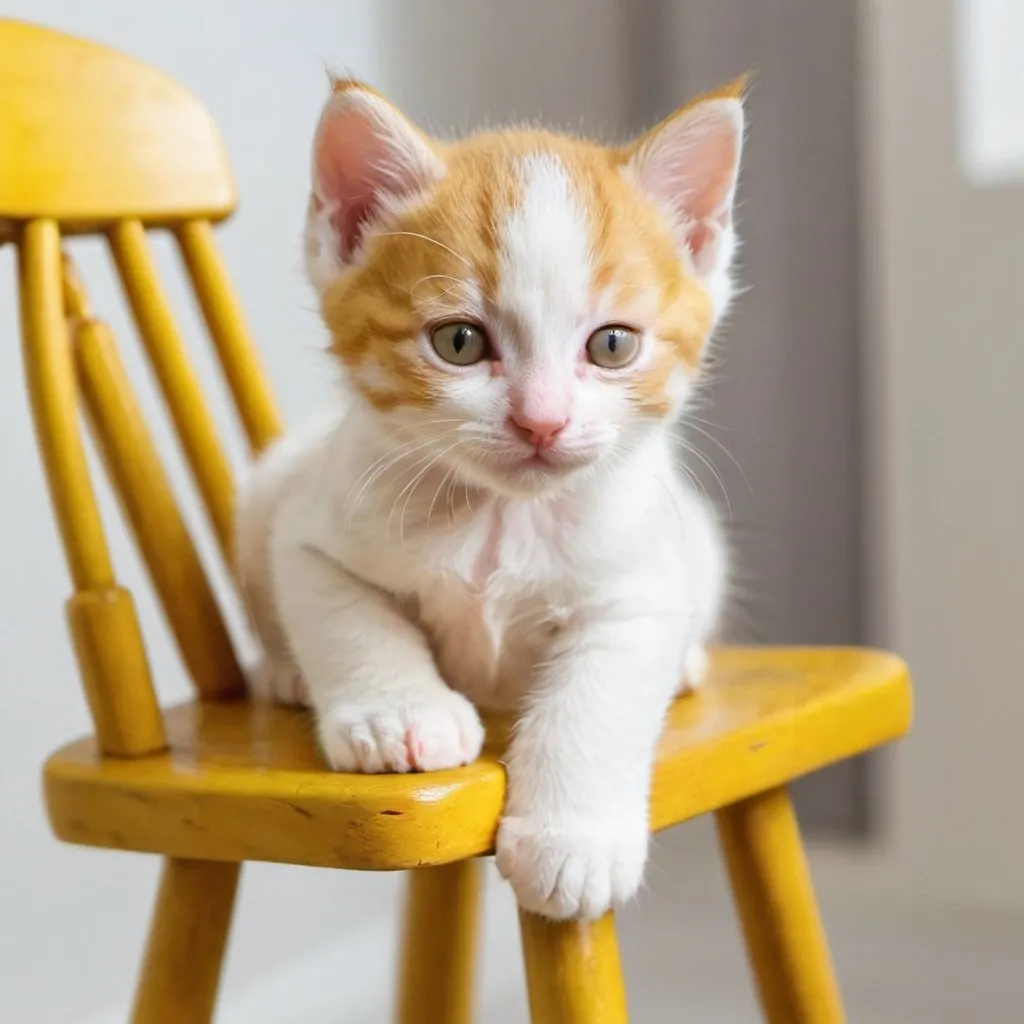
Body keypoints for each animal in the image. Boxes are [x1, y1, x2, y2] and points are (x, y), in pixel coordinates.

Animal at [239, 79, 745, 925]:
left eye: (612, 345)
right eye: (459, 342)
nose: (542, 420)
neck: (501, 516)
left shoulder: (640, 586)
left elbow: (598, 695)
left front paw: (574, 843)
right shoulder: (312, 528)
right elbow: (347, 615)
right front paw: (398, 715)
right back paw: (283, 674)